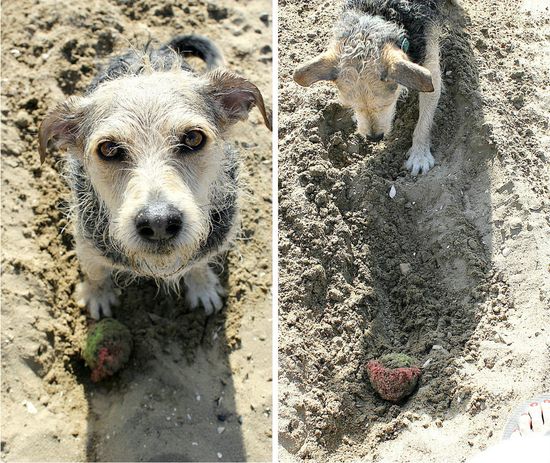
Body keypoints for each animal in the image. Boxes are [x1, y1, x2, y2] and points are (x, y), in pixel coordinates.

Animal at [38, 35, 272, 320]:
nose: (158, 221)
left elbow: (198, 262)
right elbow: (95, 271)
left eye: (193, 138)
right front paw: (97, 295)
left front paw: (203, 286)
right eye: (108, 149)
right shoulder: (86, 241)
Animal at [296, 0, 446, 176]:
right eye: (352, 106)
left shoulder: (430, 69)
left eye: (387, 104)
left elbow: (424, 122)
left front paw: (419, 156)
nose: (374, 138)